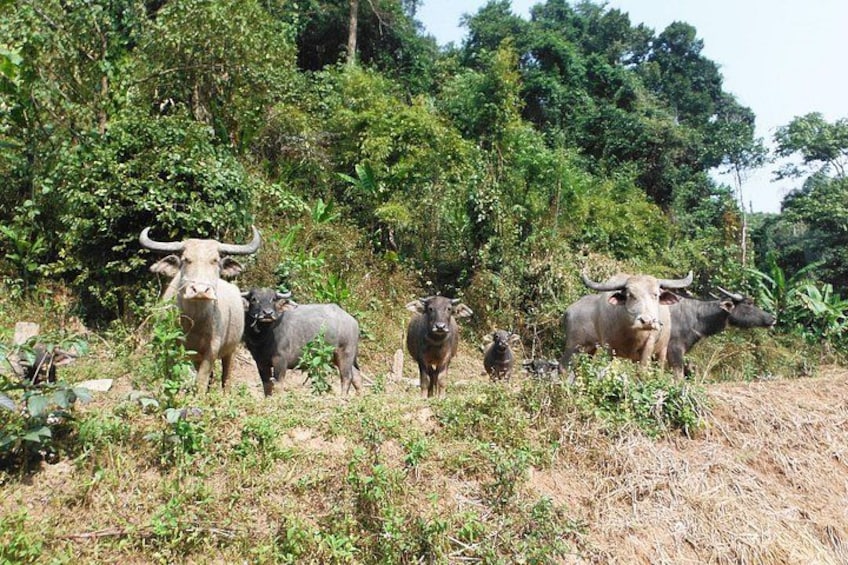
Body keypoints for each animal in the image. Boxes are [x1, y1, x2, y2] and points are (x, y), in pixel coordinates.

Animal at [140, 226, 260, 394]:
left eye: (215, 260)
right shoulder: (169, 346)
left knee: (226, 376)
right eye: (186, 259)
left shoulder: (212, 350)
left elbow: (201, 381)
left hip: (231, 350)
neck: (194, 321)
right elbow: (171, 377)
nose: (201, 291)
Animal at [558, 272, 693, 372]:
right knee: (564, 367)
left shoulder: (648, 346)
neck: (631, 332)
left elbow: (642, 371)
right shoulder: (608, 345)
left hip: (662, 350)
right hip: (573, 345)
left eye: (655, 295)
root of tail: (568, 311)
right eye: (630, 295)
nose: (647, 321)